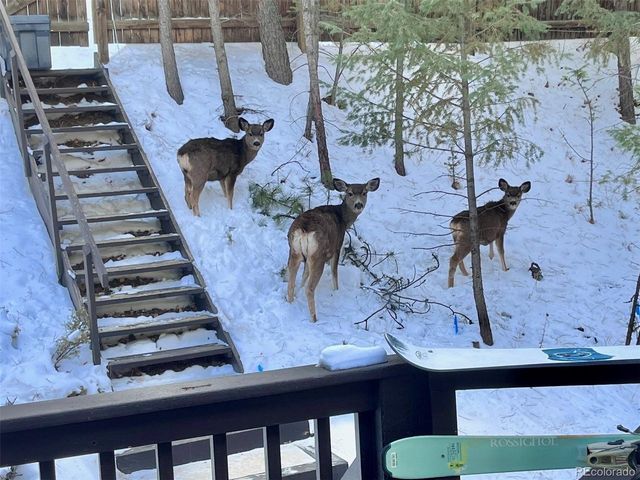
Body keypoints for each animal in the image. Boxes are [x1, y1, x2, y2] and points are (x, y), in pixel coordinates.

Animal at [286, 177, 381, 322]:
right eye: (350, 193)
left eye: (364, 193)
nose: (358, 205)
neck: (343, 219)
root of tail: (304, 230)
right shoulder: (337, 246)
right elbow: (334, 272)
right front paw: (336, 291)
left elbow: (304, 276)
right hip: (318, 256)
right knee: (310, 288)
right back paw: (314, 319)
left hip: (295, 251)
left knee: (291, 282)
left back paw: (291, 303)